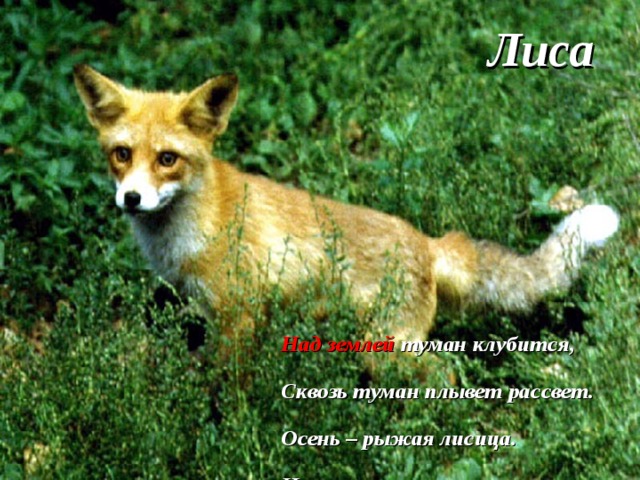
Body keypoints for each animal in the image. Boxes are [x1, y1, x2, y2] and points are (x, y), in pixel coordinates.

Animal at [73, 64, 619, 366]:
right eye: (122, 155)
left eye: (167, 159)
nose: (132, 199)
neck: (190, 230)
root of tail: (427, 243)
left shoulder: (239, 316)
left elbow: (228, 393)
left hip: (387, 350)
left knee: (445, 375)